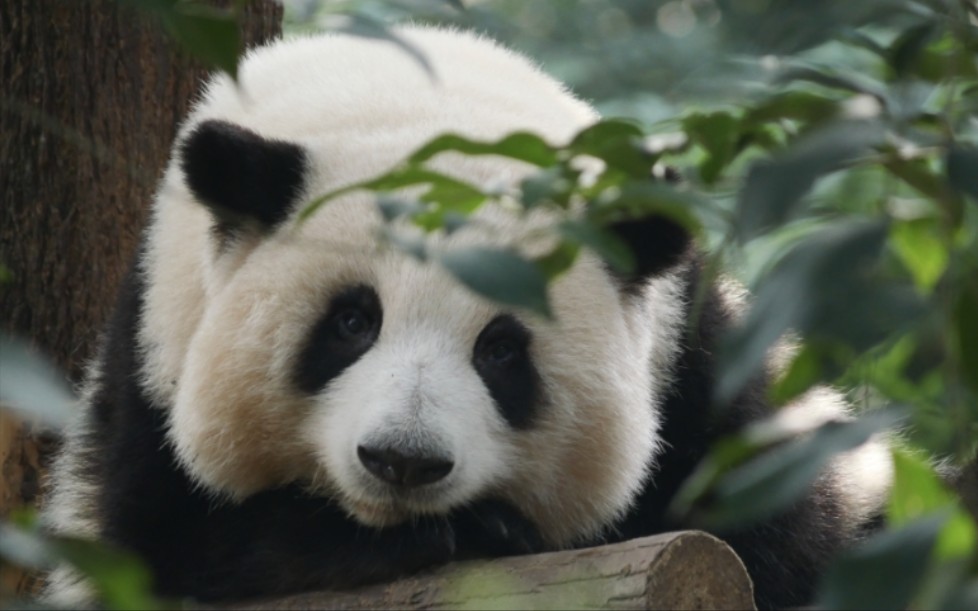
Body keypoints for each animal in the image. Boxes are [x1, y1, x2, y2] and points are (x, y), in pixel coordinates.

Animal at [42, 25, 888, 611]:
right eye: (351, 322)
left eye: (502, 349)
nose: (403, 461)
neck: (414, 93)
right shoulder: (151, 365)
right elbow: (167, 546)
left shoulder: (704, 384)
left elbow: (792, 539)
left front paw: (486, 528)